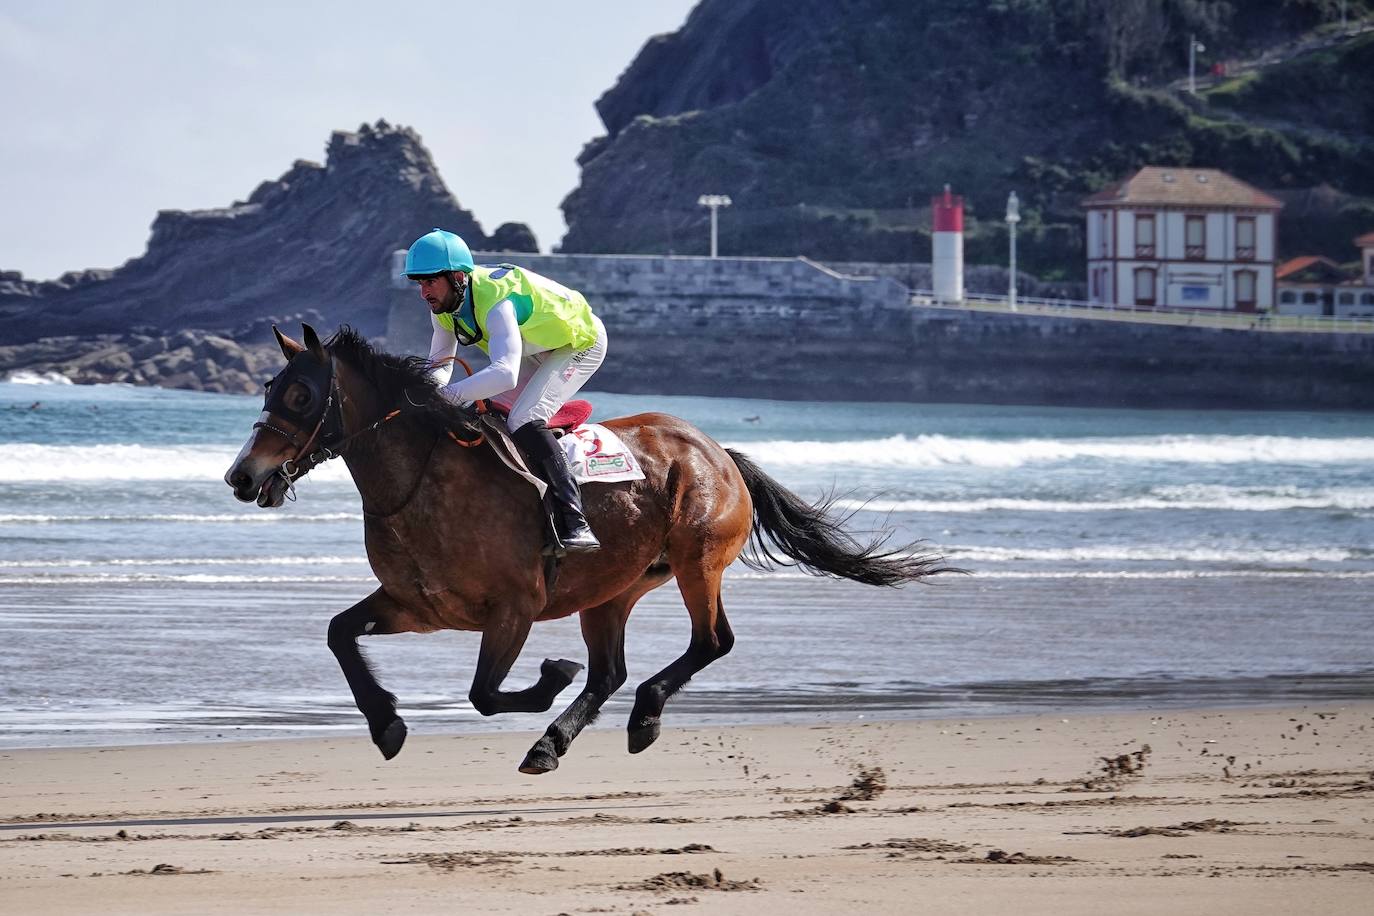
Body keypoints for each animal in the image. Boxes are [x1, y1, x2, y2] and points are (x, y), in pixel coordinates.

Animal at [225, 324, 956, 774]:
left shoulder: (513, 607)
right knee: (611, 671)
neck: (420, 480)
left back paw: (639, 719)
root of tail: (718, 450)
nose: (243, 476)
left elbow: (484, 693)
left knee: (710, 642)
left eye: (301, 392)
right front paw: (386, 725)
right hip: (614, 588)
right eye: (268, 389)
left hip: (695, 561)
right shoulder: (419, 604)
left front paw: (551, 673)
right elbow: (339, 634)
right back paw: (553, 744)